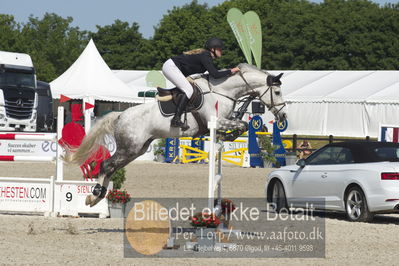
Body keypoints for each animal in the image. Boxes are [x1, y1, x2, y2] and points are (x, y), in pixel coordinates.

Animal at [63, 63, 288, 207]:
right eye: (277, 93)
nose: (283, 115)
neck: (222, 91)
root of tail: (120, 115)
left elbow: (241, 125)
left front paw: (228, 137)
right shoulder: (216, 120)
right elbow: (242, 124)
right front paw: (229, 135)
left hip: (136, 150)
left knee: (111, 168)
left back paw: (99, 196)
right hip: (129, 148)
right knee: (106, 166)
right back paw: (94, 197)